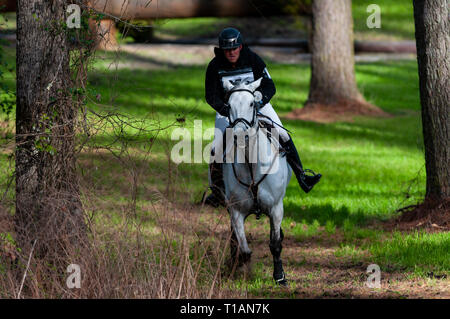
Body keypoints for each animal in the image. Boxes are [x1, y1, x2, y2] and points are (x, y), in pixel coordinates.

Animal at [220, 78, 290, 288]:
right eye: (229, 105)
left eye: (252, 103)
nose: (239, 135)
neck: (252, 165)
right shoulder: (236, 211)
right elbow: (244, 249)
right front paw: (244, 274)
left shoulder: (276, 208)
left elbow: (275, 244)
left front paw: (279, 276)